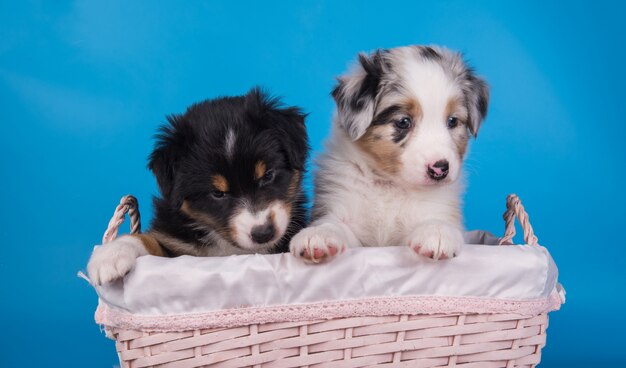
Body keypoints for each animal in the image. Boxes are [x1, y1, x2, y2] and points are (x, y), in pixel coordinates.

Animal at [87, 88, 308, 284]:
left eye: (268, 175)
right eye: (217, 193)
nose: (263, 233)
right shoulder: (175, 244)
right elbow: (148, 240)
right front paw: (111, 253)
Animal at [288, 46, 488, 264]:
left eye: (452, 121)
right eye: (403, 122)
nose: (440, 169)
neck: (389, 184)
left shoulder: (436, 209)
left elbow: (437, 221)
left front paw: (436, 232)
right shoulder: (344, 209)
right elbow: (333, 223)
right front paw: (318, 235)